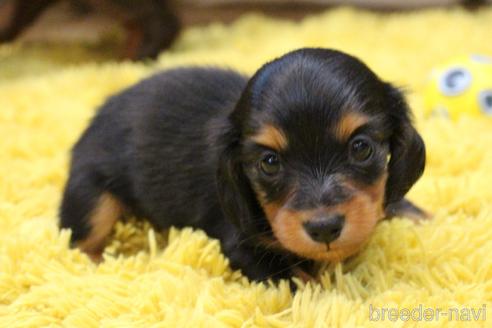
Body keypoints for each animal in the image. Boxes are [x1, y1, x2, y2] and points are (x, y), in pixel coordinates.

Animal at [58, 48, 426, 282]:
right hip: (93, 197)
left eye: (361, 148)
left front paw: (424, 219)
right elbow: (299, 282)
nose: (324, 229)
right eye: (269, 162)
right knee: (80, 241)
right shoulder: (242, 246)